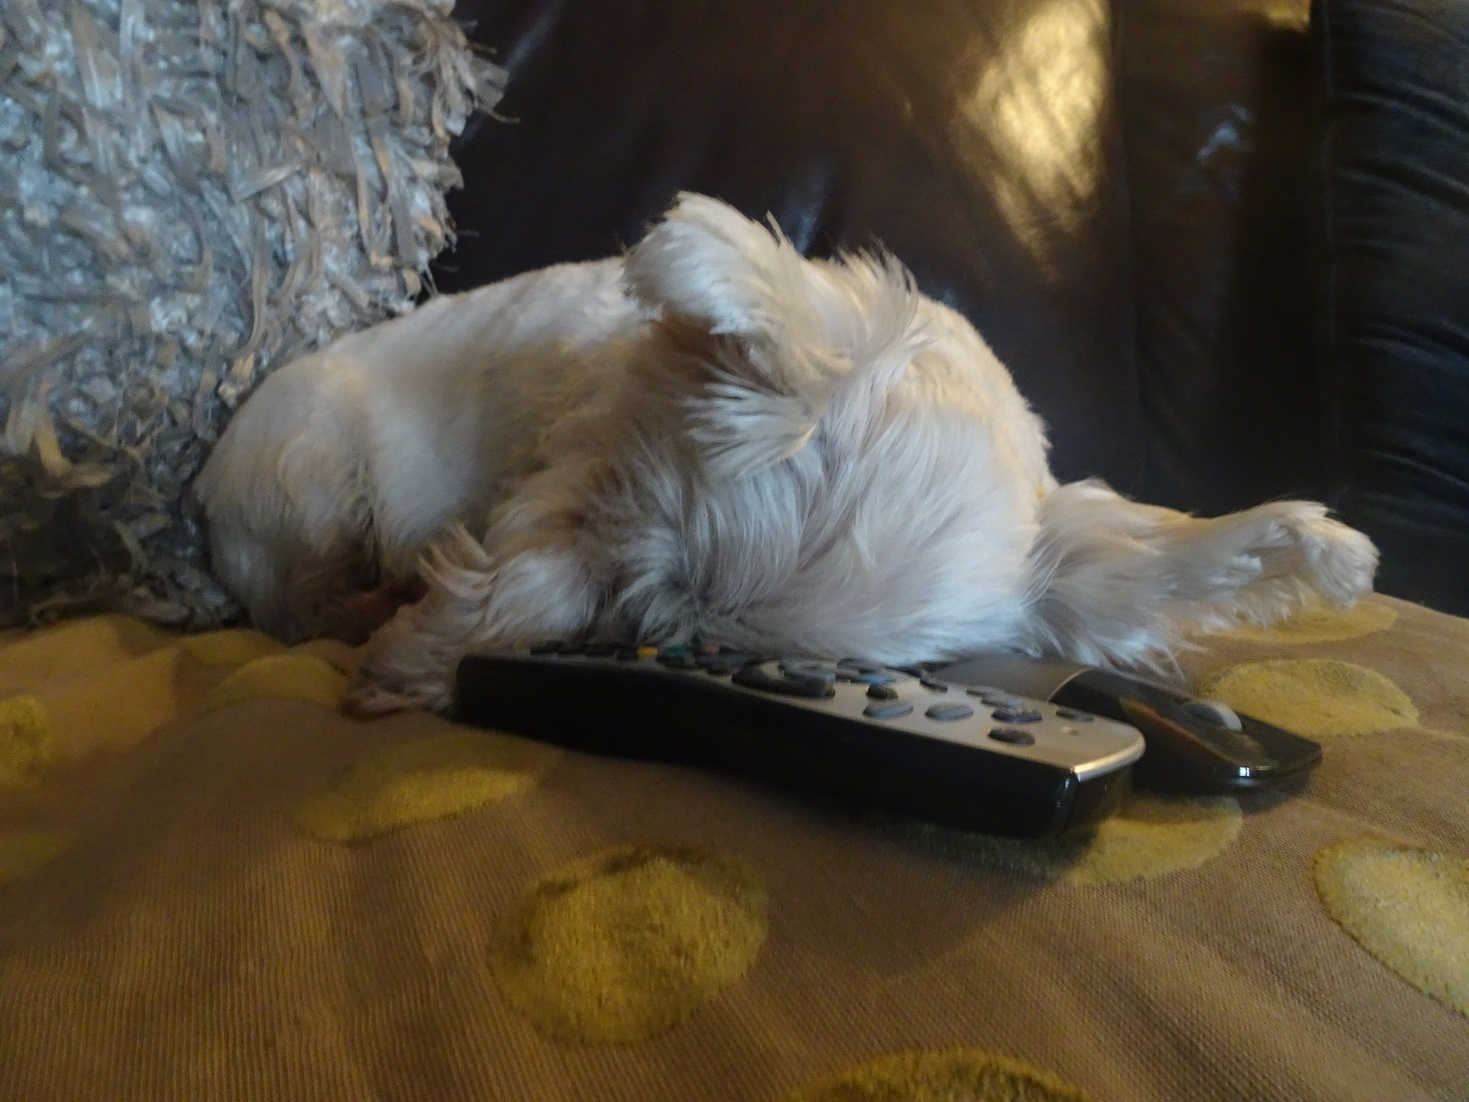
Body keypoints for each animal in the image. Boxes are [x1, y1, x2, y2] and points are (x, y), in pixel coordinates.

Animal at [192, 195, 1374, 717]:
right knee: (301, 596)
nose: (624, 631)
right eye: (645, 589)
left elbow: (515, 586)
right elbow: (512, 577)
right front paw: (426, 653)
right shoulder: (571, 476)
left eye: (695, 644)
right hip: (311, 468)